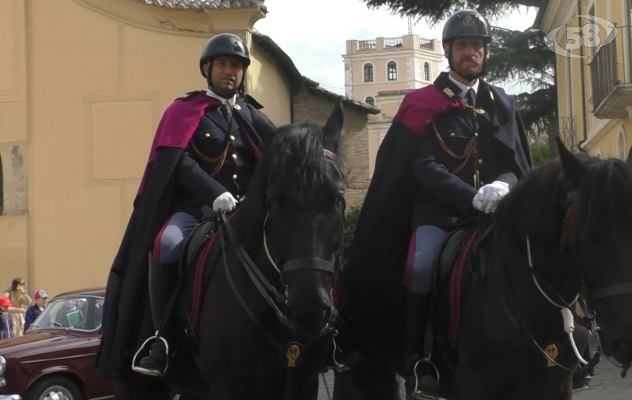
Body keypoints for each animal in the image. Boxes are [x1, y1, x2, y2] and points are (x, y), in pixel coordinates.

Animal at [116, 97, 348, 400]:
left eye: (338, 198)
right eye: (274, 201)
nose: (310, 308)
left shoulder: (304, 382)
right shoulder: (227, 386)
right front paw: (224, 200)